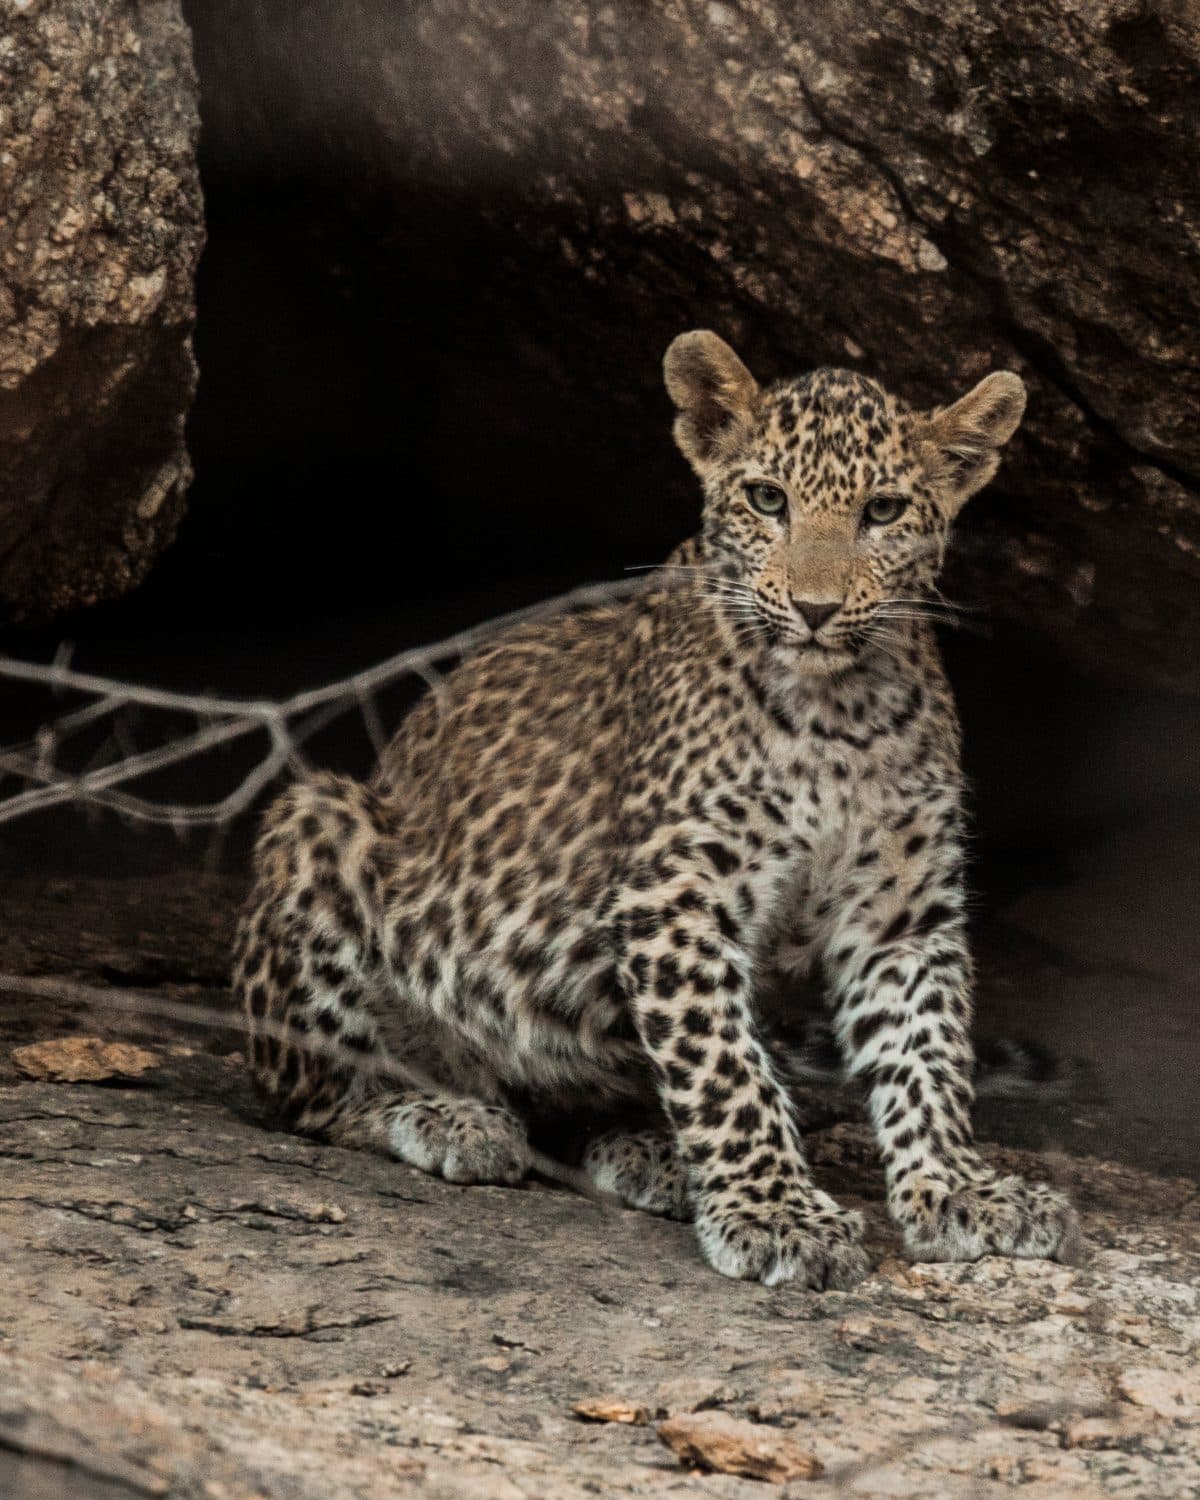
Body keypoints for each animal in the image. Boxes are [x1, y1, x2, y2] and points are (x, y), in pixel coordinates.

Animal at [233, 330, 1082, 1289]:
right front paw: (776, 1211)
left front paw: (959, 1188)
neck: (841, 713)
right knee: (314, 1100)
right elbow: (724, 1067)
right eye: (767, 499)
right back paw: (443, 1115)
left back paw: (646, 1151)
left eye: (884, 510)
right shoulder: (674, 893)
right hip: (321, 821)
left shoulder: (902, 911)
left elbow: (927, 1051)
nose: (816, 609)